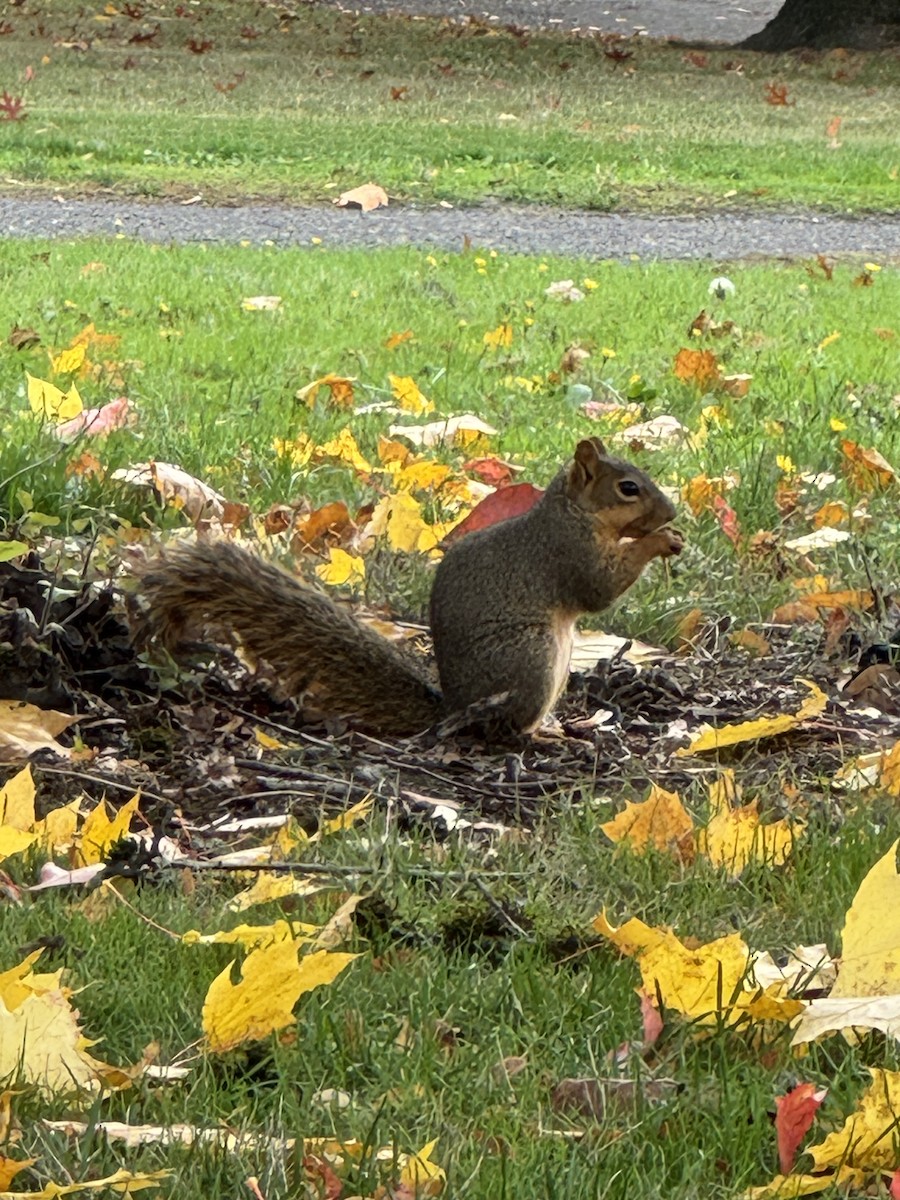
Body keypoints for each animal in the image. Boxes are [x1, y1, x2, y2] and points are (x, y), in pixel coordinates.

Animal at [138, 437, 682, 739]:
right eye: (628, 488)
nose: (672, 512)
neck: (573, 511)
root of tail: (454, 705)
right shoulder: (565, 552)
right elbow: (598, 589)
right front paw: (658, 541)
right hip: (532, 655)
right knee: (505, 728)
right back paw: (541, 736)